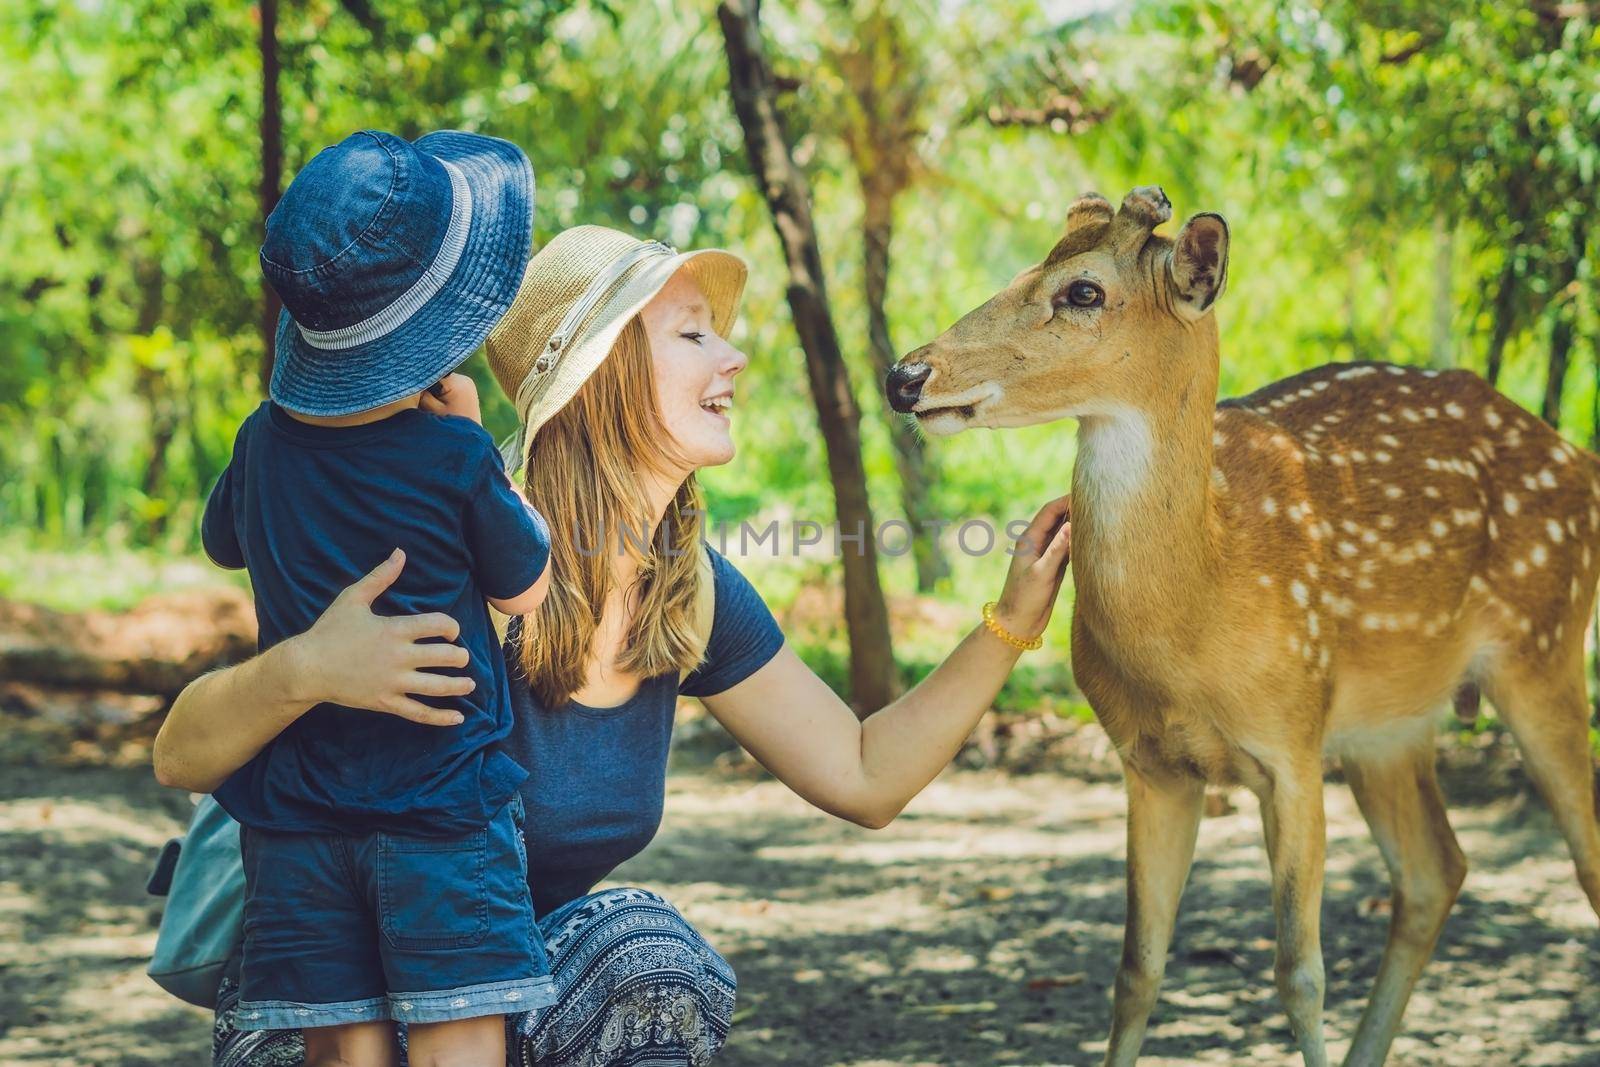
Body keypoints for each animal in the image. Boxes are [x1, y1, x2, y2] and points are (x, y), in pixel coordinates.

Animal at [883, 189, 1600, 1067]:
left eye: (1083, 290)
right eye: (1026, 266)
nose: (906, 375)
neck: (1197, 618)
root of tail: (1582, 460)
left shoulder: (1291, 740)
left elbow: (1300, 972)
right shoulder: (1150, 763)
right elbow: (1136, 969)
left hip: (1545, 647)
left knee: (1579, 859)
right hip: (1388, 727)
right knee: (1437, 868)